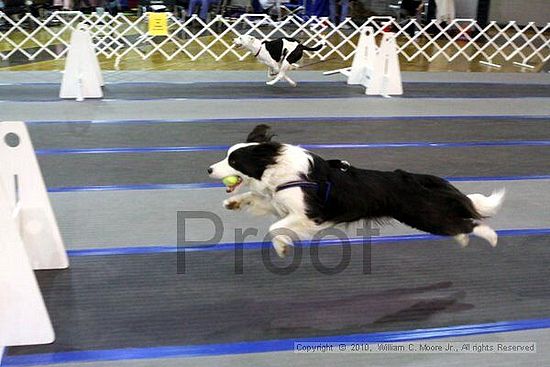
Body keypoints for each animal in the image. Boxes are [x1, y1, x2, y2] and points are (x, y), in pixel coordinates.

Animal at [208, 125, 508, 258]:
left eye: (234, 161)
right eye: (227, 157)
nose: (209, 169)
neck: (277, 168)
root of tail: (417, 179)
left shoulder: (309, 214)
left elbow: (275, 228)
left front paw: (282, 246)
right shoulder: (281, 202)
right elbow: (259, 199)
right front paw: (233, 203)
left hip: (423, 214)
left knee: (468, 223)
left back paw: (491, 238)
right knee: (457, 225)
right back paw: (463, 241)